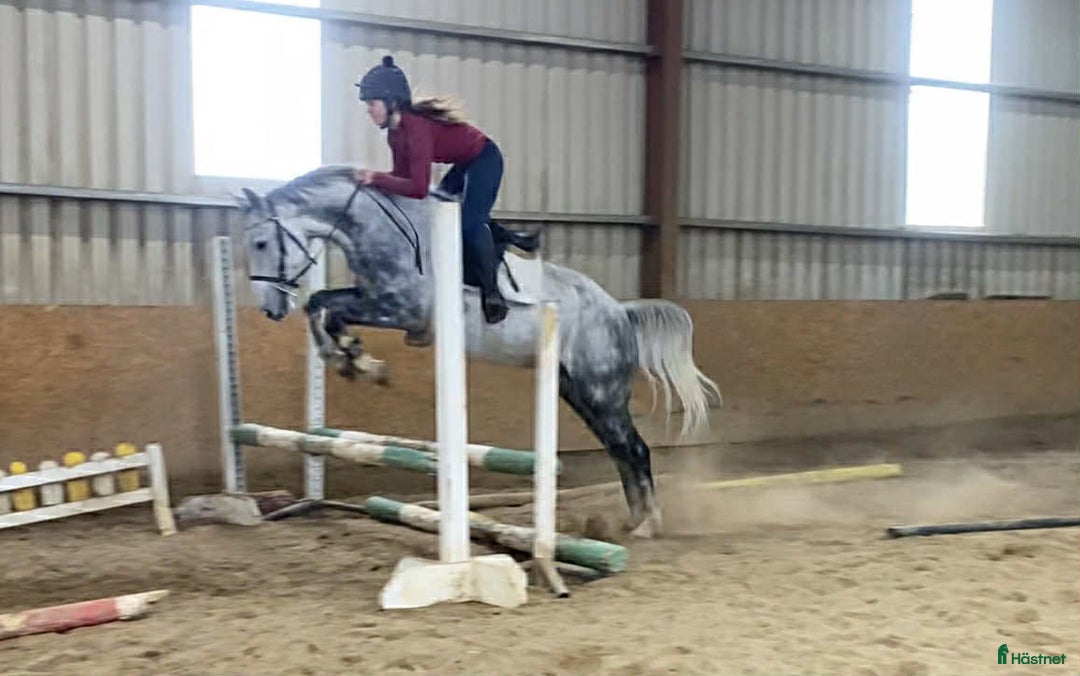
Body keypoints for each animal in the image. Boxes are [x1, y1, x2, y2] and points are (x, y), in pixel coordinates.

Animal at [231, 164, 722, 538]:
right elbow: (321, 304)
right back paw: (635, 520)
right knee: (620, 449)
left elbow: (325, 307)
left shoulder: (402, 308)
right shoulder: (377, 300)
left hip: (600, 389)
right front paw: (350, 358)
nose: (270, 309)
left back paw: (648, 523)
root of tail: (619, 312)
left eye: (260, 243)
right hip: (577, 390)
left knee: (634, 449)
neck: (379, 228)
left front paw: (358, 361)